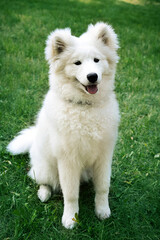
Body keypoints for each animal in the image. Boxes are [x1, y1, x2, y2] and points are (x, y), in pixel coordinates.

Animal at [7, 22, 120, 229]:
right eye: (77, 63)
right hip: (47, 170)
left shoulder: (104, 155)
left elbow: (103, 187)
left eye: (97, 60)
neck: (84, 107)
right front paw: (70, 219)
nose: (92, 76)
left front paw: (102, 211)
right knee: (42, 181)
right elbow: (71, 194)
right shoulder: (68, 160)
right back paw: (43, 193)